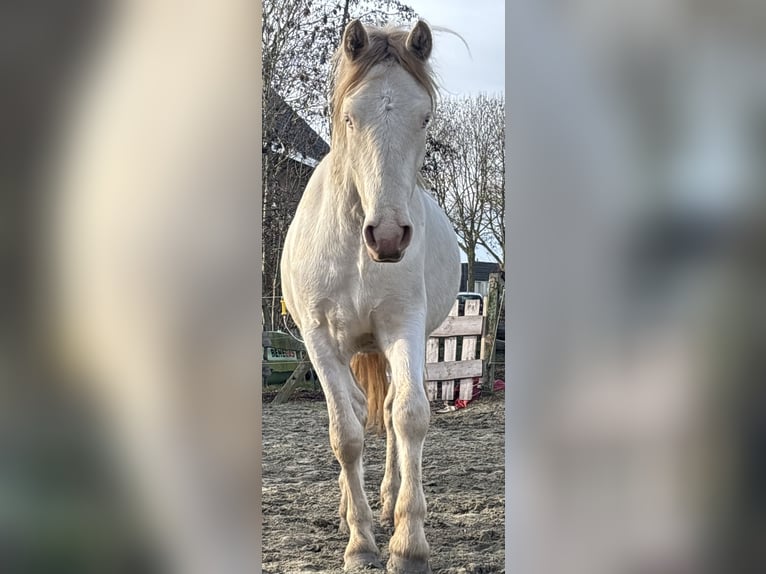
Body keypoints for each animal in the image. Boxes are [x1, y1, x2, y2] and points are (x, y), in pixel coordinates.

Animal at [280, 19, 461, 574]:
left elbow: (409, 416)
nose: (387, 236)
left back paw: (384, 504)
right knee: (355, 418)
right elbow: (346, 434)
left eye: (424, 117)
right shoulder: (320, 341)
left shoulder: (404, 326)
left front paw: (408, 545)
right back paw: (349, 516)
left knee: (387, 411)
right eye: (349, 118)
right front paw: (360, 544)